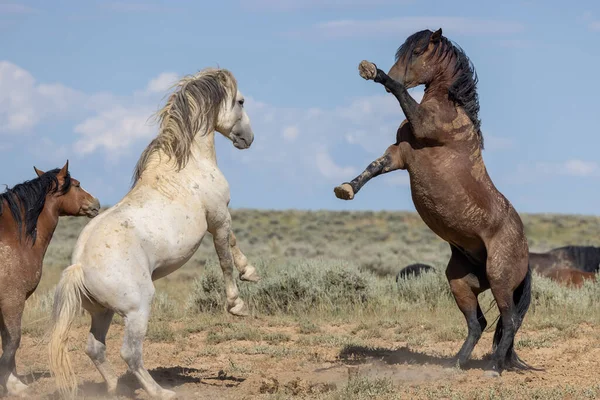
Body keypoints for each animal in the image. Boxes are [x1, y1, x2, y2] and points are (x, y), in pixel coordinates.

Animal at [0, 161, 98, 396]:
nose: (96, 203)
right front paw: (12, 384)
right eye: (77, 184)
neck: (13, 238)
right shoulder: (12, 300)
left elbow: (7, 341)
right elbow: (12, 341)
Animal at [48, 67, 258, 398]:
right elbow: (225, 257)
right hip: (137, 309)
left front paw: (250, 272)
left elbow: (234, 247)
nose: (248, 139)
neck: (187, 164)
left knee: (95, 349)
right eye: (240, 101)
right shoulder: (218, 217)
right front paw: (237, 306)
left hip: (102, 312)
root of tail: (79, 267)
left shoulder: (221, 217)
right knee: (130, 353)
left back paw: (114, 388)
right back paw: (161, 392)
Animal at [332, 28, 536, 376]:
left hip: (500, 280)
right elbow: (373, 167)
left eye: (416, 51)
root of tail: (524, 250)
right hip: (460, 283)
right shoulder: (399, 155)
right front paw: (346, 189)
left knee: (508, 321)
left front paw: (378, 74)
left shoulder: (420, 128)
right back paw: (456, 363)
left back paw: (495, 367)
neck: (448, 106)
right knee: (479, 323)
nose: (392, 69)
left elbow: (399, 93)